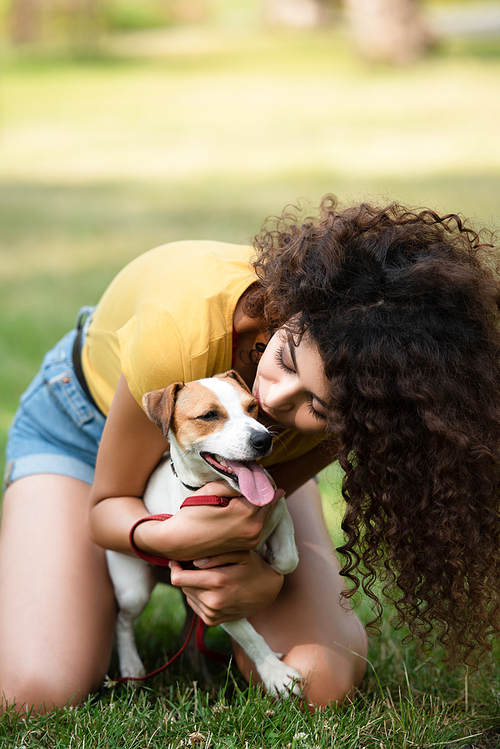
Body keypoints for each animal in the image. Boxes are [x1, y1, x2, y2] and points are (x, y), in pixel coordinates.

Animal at [105, 372, 300, 700]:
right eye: (209, 415)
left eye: (253, 407)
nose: (263, 439)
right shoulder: (215, 596)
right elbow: (247, 634)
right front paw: (274, 672)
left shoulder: (279, 507)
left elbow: (288, 559)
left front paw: (269, 560)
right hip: (134, 589)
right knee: (122, 621)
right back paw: (132, 666)